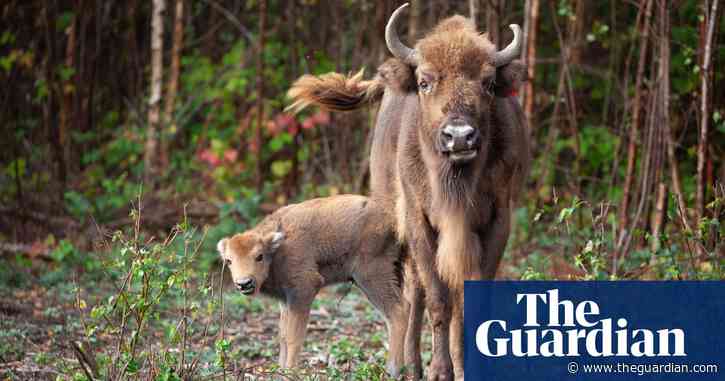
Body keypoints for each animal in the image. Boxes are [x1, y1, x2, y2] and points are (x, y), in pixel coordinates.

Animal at [216, 194, 408, 376]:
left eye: (259, 256)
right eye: (229, 260)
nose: (244, 283)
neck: (278, 250)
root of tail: (393, 221)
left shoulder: (303, 290)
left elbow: (294, 337)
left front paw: (290, 371)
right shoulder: (285, 300)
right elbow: (283, 336)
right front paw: (281, 371)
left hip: (371, 277)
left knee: (397, 313)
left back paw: (392, 370)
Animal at [286, 2, 528, 378]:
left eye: (488, 83)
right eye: (425, 82)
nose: (460, 137)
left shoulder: (497, 222)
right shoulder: (419, 222)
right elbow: (439, 300)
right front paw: (440, 370)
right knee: (415, 294)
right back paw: (411, 364)